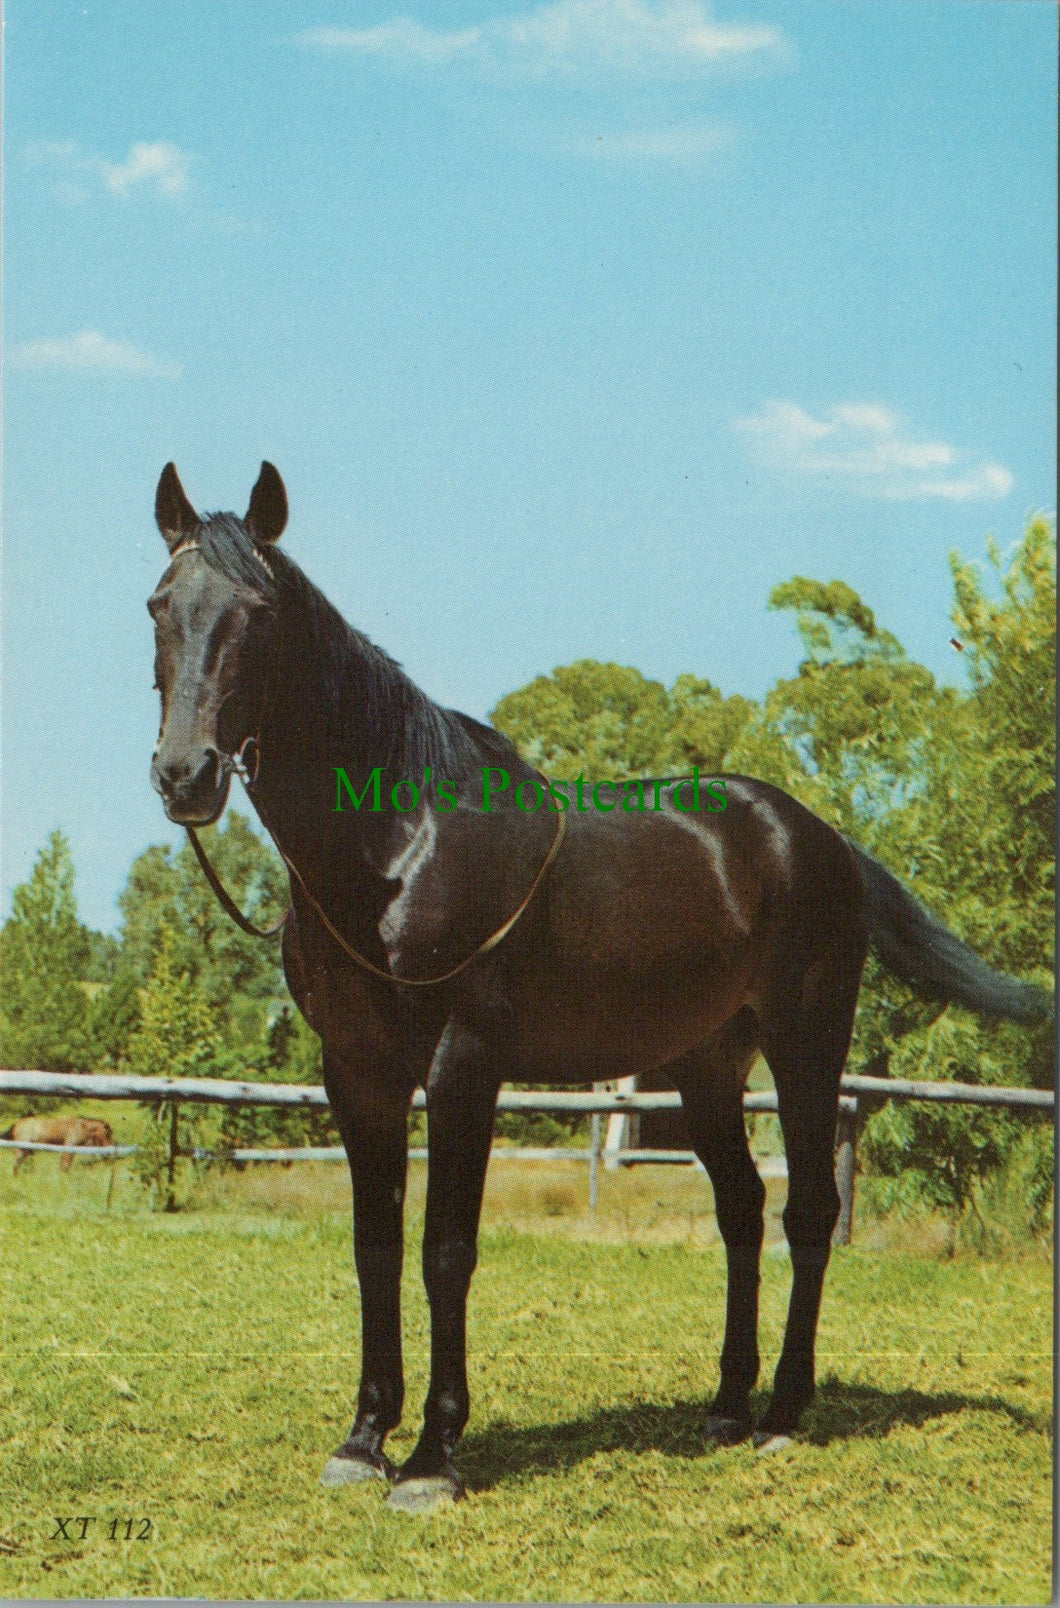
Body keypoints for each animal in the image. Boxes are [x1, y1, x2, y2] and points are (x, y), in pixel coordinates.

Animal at [147, 461, 1050, 1513]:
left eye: (258, 613)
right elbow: (376, 1246)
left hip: (806, 1043)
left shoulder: (463, 1066)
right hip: (706, 1064)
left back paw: (784, 1414)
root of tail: (819, 840)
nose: (185, 774)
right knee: (742, 1210)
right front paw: (364, 1441)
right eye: (160, 605)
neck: (396, 848)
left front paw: (432, 1459)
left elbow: (445, 1251)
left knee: (808, 1212)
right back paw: (726, 1408)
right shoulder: (356, 1071)